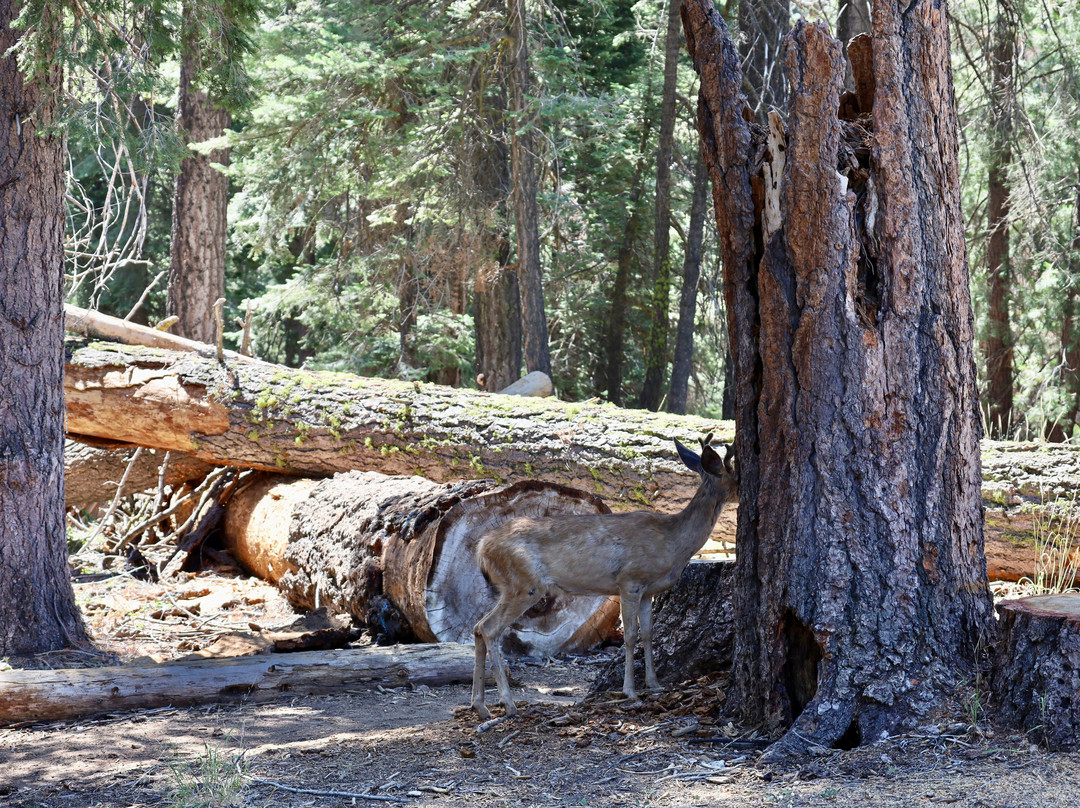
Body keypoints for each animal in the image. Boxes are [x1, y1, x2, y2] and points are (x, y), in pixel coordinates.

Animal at [468, 436, 738, 721]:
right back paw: (508, 704)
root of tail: (482, 547)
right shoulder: (630, 581)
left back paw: (481, 706)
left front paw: (654, 684)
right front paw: (630, 691)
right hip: (524, 583)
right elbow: (630, 635)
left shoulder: (649, 591)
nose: (741, 493)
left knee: (477, 627)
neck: (673, 542)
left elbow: (648, 634)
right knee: (489, 628)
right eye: (738, 475)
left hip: (511, 586)